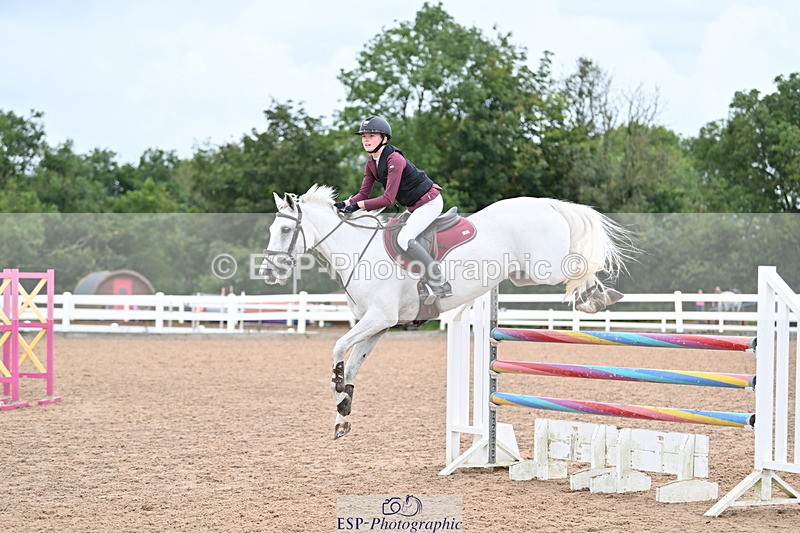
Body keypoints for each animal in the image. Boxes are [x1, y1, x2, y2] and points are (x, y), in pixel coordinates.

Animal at [260, 184, 633, 439]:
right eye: (272, 229)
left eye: (285, 229)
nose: (268, 273)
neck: (356, 251)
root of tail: (545, 204)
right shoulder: (378, 325)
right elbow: (353, 366)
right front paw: (342, 414)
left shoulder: (379, 318)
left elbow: (339, 349)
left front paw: (336, 385)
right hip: (521, 273)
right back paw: (596, 296)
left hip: (546, 268)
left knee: (578, 265)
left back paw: (596, 296)